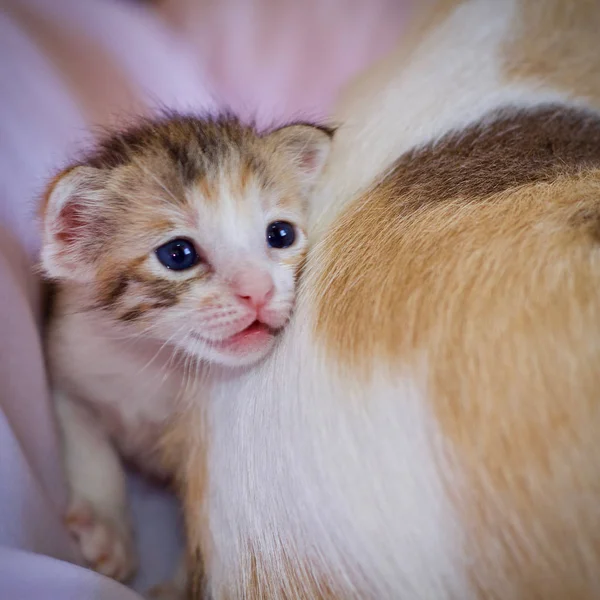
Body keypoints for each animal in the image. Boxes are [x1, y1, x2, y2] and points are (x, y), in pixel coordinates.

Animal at [38, 115, 332, 584]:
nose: (258, 291)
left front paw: (174, 585)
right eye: (178, 254)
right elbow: (87, 445)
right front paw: (106, 527)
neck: (153, 358)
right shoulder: (69, 357)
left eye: (280, 234)